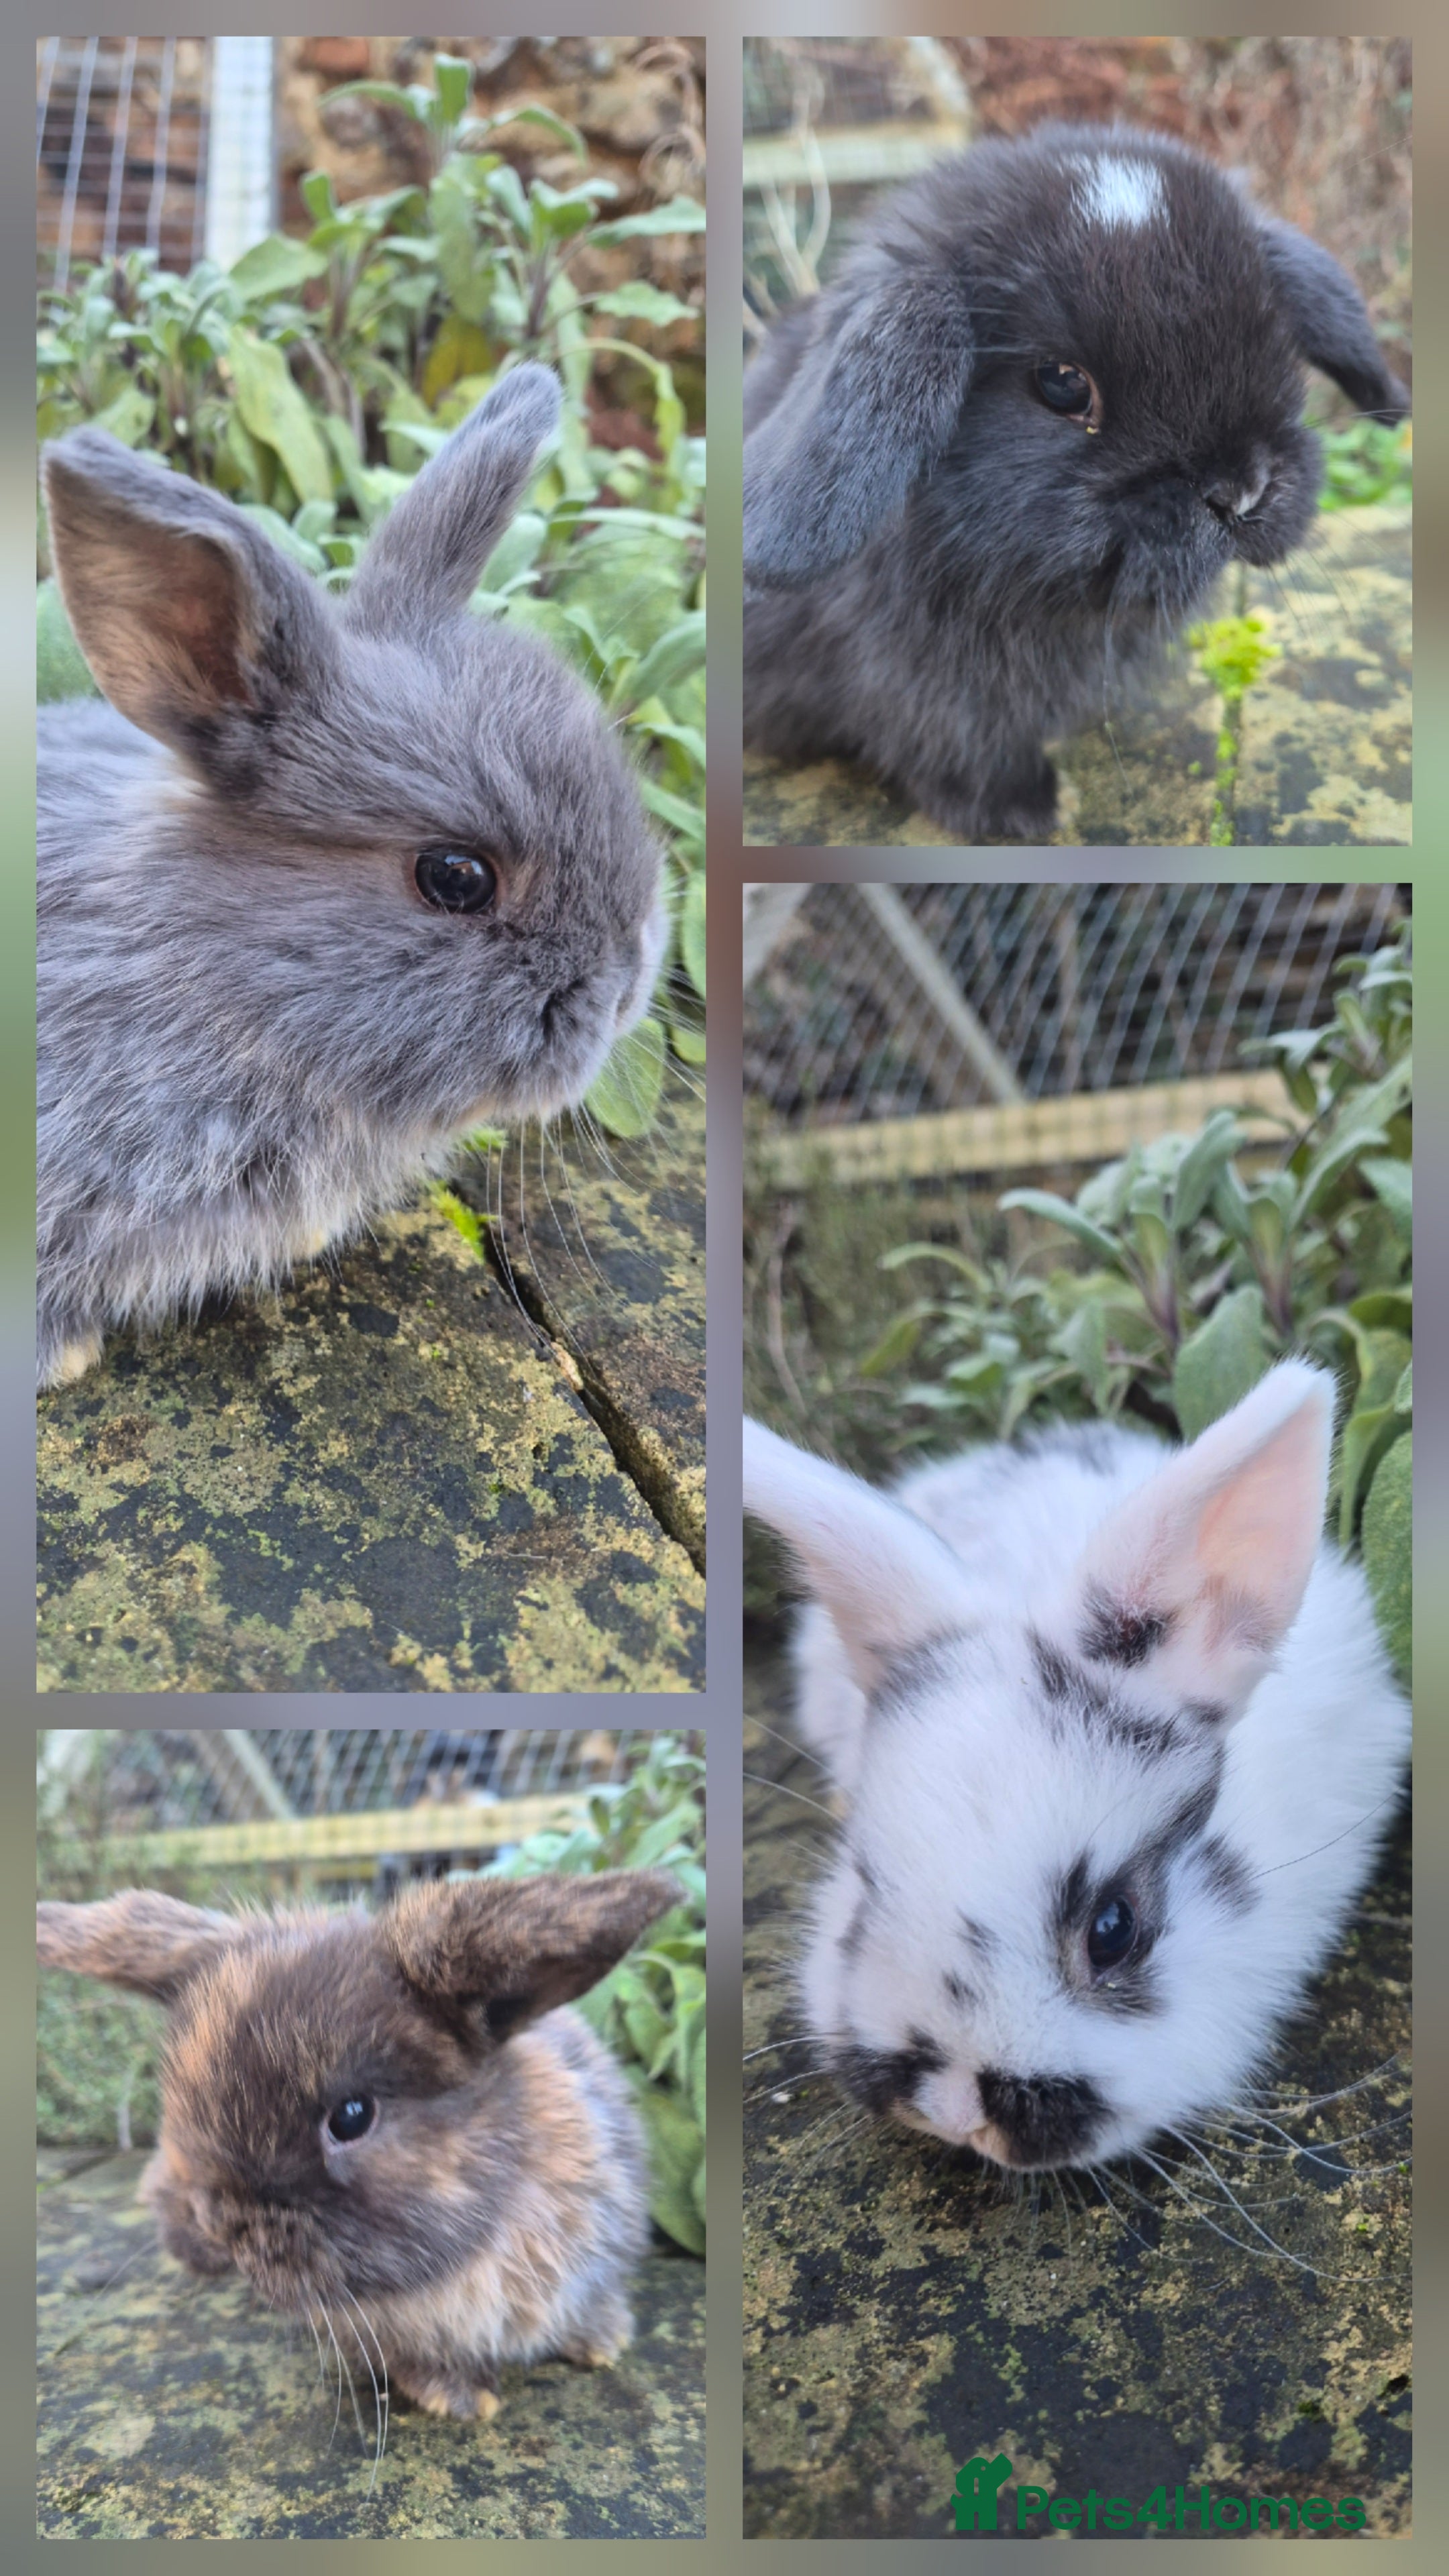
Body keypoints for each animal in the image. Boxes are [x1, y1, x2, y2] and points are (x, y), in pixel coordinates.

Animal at [743, 122, 1410, 841]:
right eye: (1063, 384)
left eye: (1273, 338)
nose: (1242, 491)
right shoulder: (923, 679)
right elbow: (953, 742)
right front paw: (1028, 808)